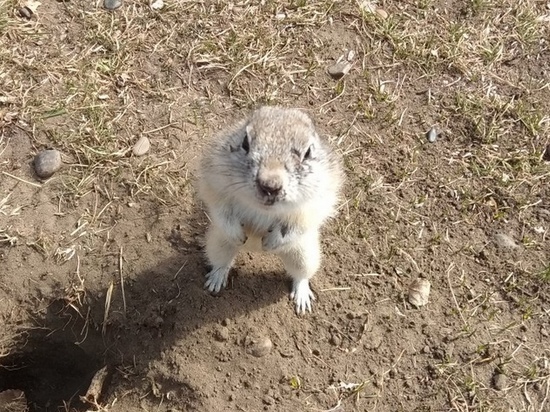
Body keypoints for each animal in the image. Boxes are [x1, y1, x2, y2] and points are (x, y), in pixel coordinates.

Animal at [198, 105, 344, 312]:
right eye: (245, 143)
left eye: (308, 152)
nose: (269, 186)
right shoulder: (214, 181)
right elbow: (220, 209)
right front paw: (237, 233)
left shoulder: (316, 202)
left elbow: (300, 224)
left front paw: (271, 242)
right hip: (218, 243)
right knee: (221, 262)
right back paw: (216, 279)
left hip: (304, 254)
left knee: (302, 274)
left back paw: (302, 297)